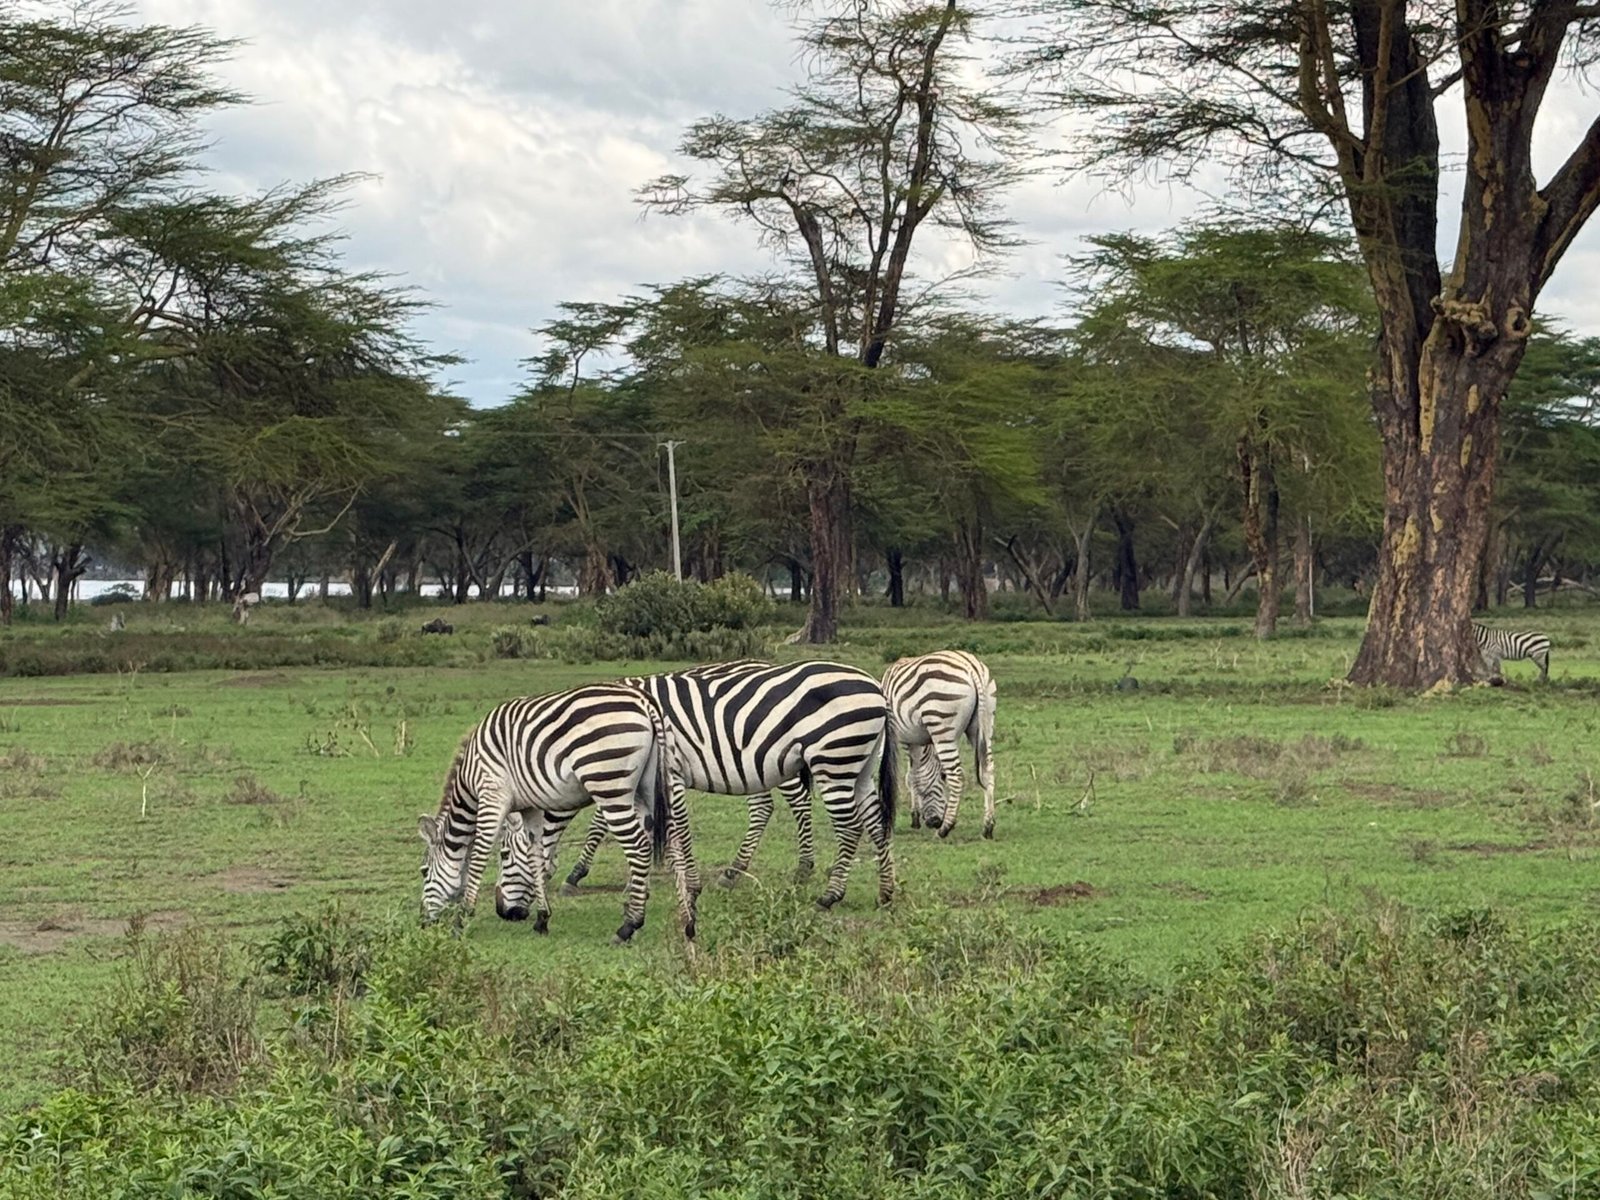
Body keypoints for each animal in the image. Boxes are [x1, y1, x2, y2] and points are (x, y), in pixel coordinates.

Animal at [417, 682, 698, 944]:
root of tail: (646, 703)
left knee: (639, 846)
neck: (469, 777)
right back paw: (688, 922)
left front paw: (461, 920)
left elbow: (478, 856)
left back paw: (629, 926)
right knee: (672, 841)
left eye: (422, 871)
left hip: (609, 784)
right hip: (650, 785)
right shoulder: (529, 806)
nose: (422, 922)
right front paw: (542, 919)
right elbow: (535, 855)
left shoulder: (492, 796)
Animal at [499, 659, 899, 915]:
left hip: (833, 759)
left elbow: (647, 827)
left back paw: (828, 894)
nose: (504, 910)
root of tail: (875, 689)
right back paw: (884, 892)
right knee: (874, 820)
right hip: (857, 764)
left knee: (847, 827)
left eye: (503, 854)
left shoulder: (662, 771)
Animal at [883, 650, 997, 839]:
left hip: (941, 724)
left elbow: (911, 777)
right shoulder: (914, 740)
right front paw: (916, 817)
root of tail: (971, 665)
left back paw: (945, 828)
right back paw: (987, 826)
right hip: (985, 724)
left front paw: (914, 817)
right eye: (941, 778)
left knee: (957, 775)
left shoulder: (902, 739)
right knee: (988, 769)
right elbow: (914, 774)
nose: (935, 822)